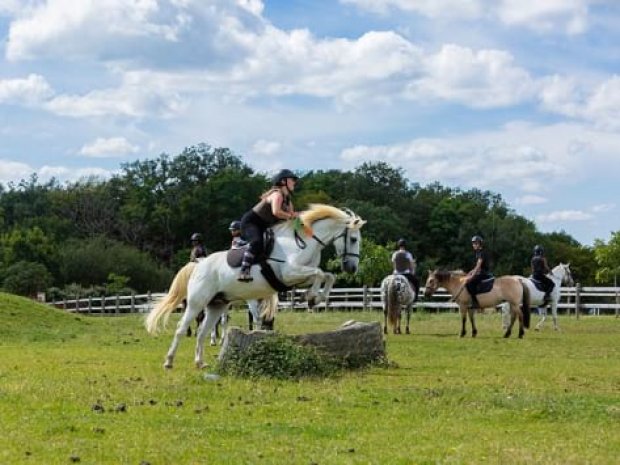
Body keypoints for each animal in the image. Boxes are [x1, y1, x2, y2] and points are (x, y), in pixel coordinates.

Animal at [146, 205, 366, 368]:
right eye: (353, 239)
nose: (352, 268)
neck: (303, 242)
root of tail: (198, 265)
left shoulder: (298, 277)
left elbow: (327, 276)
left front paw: (314, 298)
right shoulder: (289, 273)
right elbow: (321, 273)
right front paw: (312, 297)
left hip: (217, 304)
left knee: (203, 331)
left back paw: (200, 362)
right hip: (196, 302)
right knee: (181, 328)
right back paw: (169, 361)